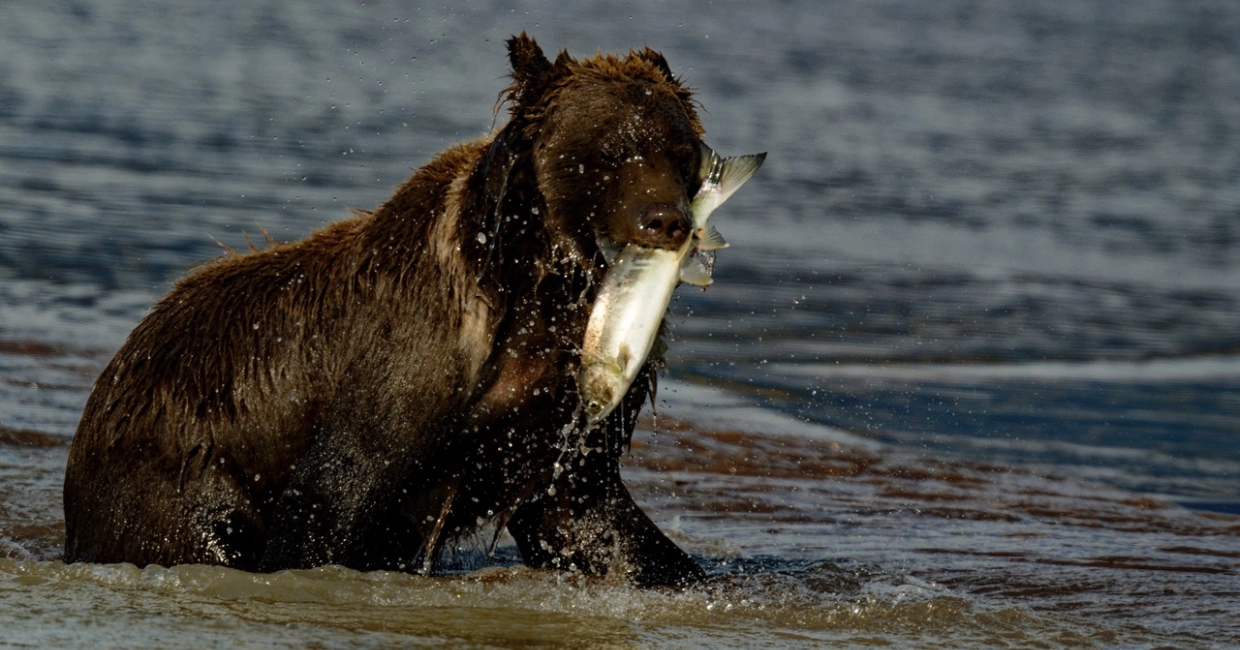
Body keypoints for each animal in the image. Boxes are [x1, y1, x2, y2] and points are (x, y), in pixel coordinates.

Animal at [63, 34, 715, 588]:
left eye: (681, 151)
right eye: (610, 150)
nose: (666, 220)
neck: (543, 290)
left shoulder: (555, 408)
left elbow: (585, 514)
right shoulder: (417, 353)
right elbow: (338, 492)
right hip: (176, 464)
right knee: (198, 535)